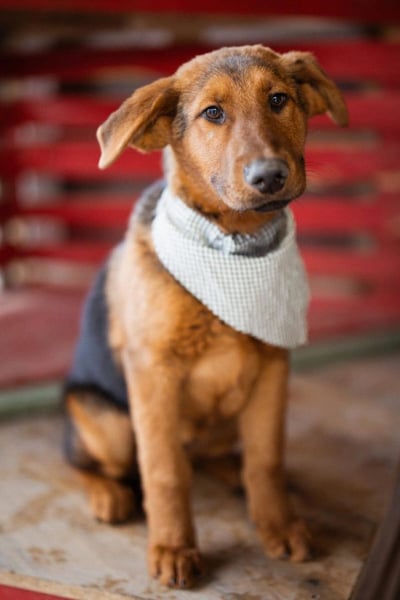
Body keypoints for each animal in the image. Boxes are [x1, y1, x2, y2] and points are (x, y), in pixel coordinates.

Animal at [64, 44, 348, 588]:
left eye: (278, 99)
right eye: (212, 114)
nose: (268, 177)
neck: (236, 247)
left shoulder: (273, 368)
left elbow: (266, 459)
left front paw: (278, 523)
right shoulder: (153, 375)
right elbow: (164, 472)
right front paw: (174, 547)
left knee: (218, 455)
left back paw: (231, 473)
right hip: (106, 419)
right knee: (80, 456)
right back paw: (107, 493)